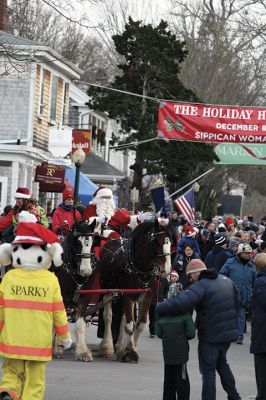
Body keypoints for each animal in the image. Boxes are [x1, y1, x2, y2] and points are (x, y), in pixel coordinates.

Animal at [75, 219, 171, 362]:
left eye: (171, 243)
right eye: (157, 242)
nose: (167, 269)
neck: (140, 267)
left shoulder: (147, 295)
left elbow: (140, 324)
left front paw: (131, 348)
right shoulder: (128, 295)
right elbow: (130, 325)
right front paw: (130, 351)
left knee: (123, 318)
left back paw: (120, 346)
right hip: (108, 290)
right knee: (108, 317)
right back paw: (107, 347)